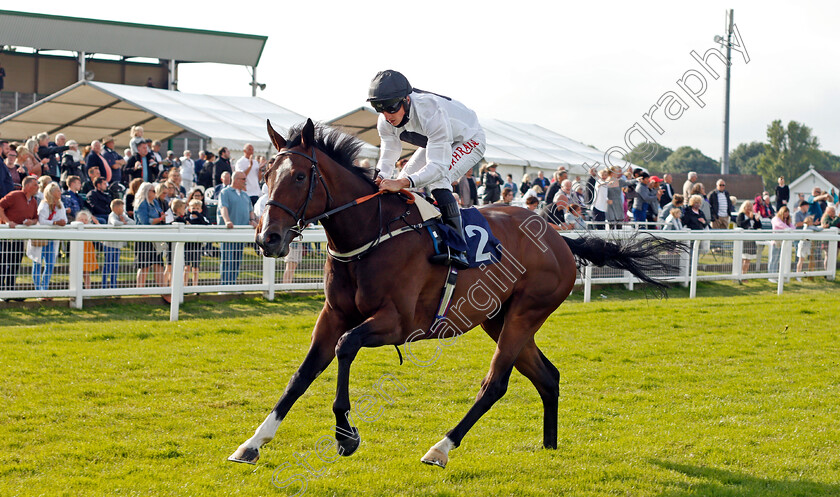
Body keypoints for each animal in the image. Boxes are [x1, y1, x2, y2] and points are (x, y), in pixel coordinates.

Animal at [228, 118, 676, 466]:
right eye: (265, 176)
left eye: (300, 176)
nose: (267, 239)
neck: (370, 233)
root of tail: (560, 239)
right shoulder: (332, 315)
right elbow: (301, 375)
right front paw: (252, 443)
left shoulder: (398, 323)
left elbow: (345, 347)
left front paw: (345, 435)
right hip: (499, 318)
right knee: (548, 377)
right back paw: (549, 447)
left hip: (525, 314)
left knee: (495, 384)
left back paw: (440, 448)